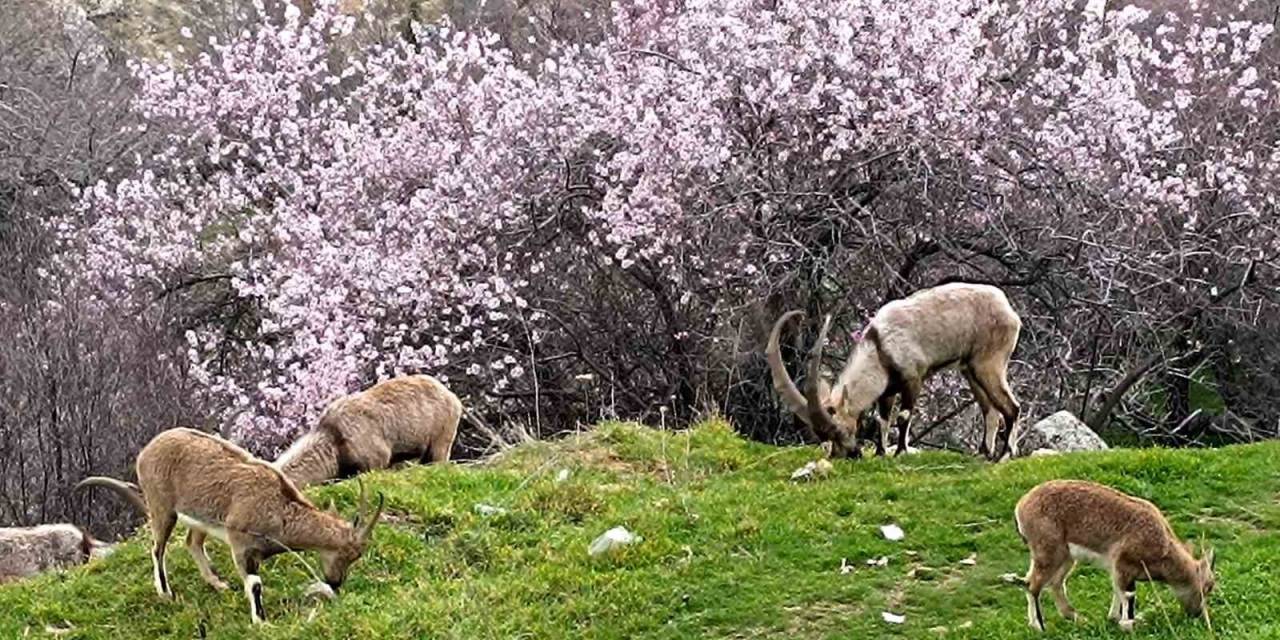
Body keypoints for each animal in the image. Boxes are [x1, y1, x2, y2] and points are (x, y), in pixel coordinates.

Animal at [76, 427, 378, 622]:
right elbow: (255, 584)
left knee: (192, 542)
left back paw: (217, 583)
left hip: (200, 518)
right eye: (346, 554)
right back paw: (165, 593)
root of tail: (147, 450)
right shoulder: (241, 544)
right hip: (162, 507)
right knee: (157, 548)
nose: (335, 582)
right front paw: (261, 622)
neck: (279, 508)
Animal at [762, 282, 1024, 458]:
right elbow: (883, 419)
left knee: (1011, 407)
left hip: (989, 363)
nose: (850, 454)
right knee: (990, 410)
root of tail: (1009, 311)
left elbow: (903, 416)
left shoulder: (913, 378)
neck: (880, 347)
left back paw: (1004, 455)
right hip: (970, 370)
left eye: (841, 429)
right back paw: (983, 453)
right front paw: (880, 453)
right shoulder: (887, 390)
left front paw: (900, 452)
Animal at [1013, 478, 1213, 632]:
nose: (1197, 614)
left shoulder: (1118, 570)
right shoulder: (1124, 565)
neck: (1162, 546)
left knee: (1054, 584)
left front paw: (1114, 618)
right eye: (1207, 587)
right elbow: (1128, 595)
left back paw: (1077, 618)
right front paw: (1128, 624)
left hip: (1066, 558)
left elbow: (1118, 591)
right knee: (1032, 585)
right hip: (1049, 552)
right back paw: (1039, 626)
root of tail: (1021, 506)